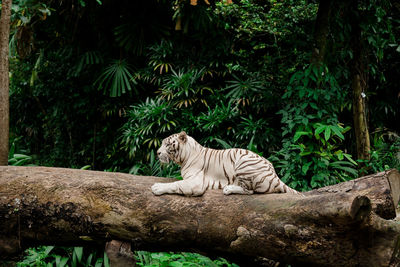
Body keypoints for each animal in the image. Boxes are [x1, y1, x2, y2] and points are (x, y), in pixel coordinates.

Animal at [152, 132, 302, 197]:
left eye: (167, 144)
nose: (157, 153)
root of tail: (275, 175)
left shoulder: (196, 182)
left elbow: (176, 184)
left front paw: (157, 187)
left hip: (243, 162)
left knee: (250, 191)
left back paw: (229, 189)